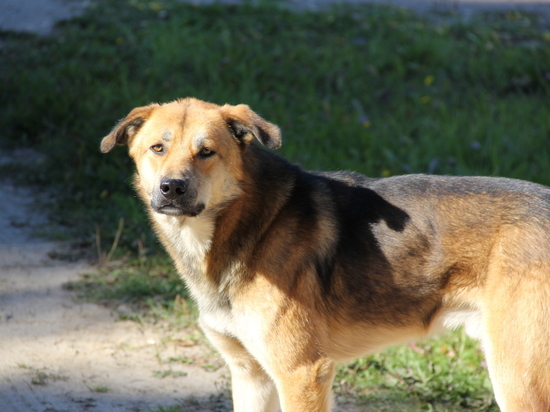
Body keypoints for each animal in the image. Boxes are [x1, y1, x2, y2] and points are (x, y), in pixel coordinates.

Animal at [100, 98, 550, 410]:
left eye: (206, 151)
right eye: (157, 148)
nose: (172, 188)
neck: (251, 224)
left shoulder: (301, 374)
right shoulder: (250, 375)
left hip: (517, 377)